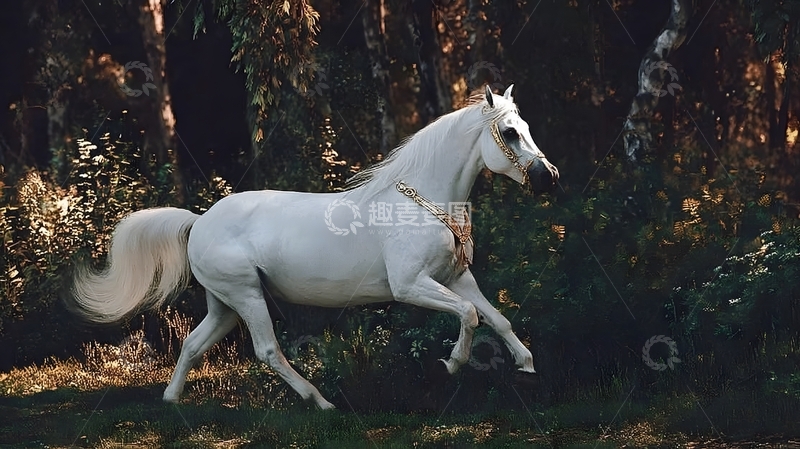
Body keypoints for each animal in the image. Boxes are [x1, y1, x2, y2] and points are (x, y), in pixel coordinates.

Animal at [72, 85, 559, 409]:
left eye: (526, 127)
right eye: (510, 133)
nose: (548, 177)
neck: (418, 201)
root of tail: (199, 221)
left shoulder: (457, 278)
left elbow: (496, 317)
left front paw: (528, 367)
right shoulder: (411, 286)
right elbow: (471, 316)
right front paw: (450, 365)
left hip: (224, 304)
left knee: (193, 343)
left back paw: (172, 401)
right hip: (247, 296)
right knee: (267, 351)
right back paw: (321, 402)